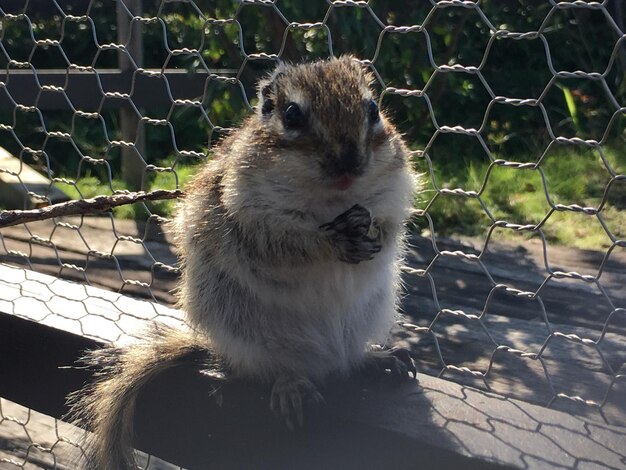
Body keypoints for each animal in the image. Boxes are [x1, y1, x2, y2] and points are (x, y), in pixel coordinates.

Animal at [67, 57, 420, 468]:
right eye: (292, 114)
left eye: (373, 109)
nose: (349, 163)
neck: (334, 200)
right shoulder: (245, 209)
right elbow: (281, 245)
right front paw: (331, 242)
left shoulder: (394, 191)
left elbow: (391, 224)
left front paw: (374, 231)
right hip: (246, 329)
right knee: (275, 367)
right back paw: (291, 383)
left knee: (346, 362)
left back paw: (375, 359)